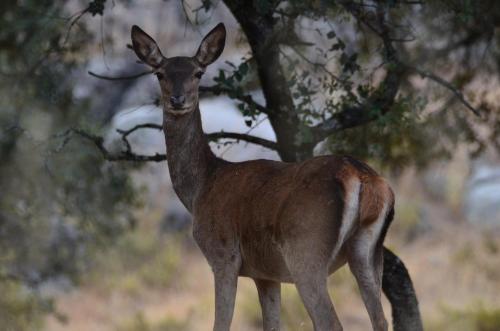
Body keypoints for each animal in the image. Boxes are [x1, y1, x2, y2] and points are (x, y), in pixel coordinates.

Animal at [132, 23, 394, 331]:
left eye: (198, 73)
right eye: (159, 73)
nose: (177, 99)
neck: (201, 188)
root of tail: (362, 178)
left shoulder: (223, 255)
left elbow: (221, 323)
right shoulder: (265, 274)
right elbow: (271, 324)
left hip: (306, 252)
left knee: (330, 322)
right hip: (369, 252)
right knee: (380, 319)